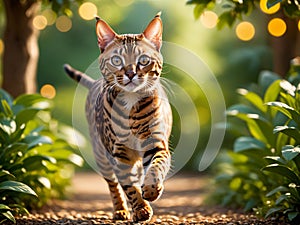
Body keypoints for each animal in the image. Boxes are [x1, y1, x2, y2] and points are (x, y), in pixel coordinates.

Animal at [63, 12, 171, 221]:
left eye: (143, 60)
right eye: (116, 60)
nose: (130, 73)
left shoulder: (155, 142)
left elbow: (156, 166)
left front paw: (151, 189)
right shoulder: (119, 154)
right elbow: (128, 187)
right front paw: (140, 208)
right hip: (101, 155)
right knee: (113, 184)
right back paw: (120, 209)